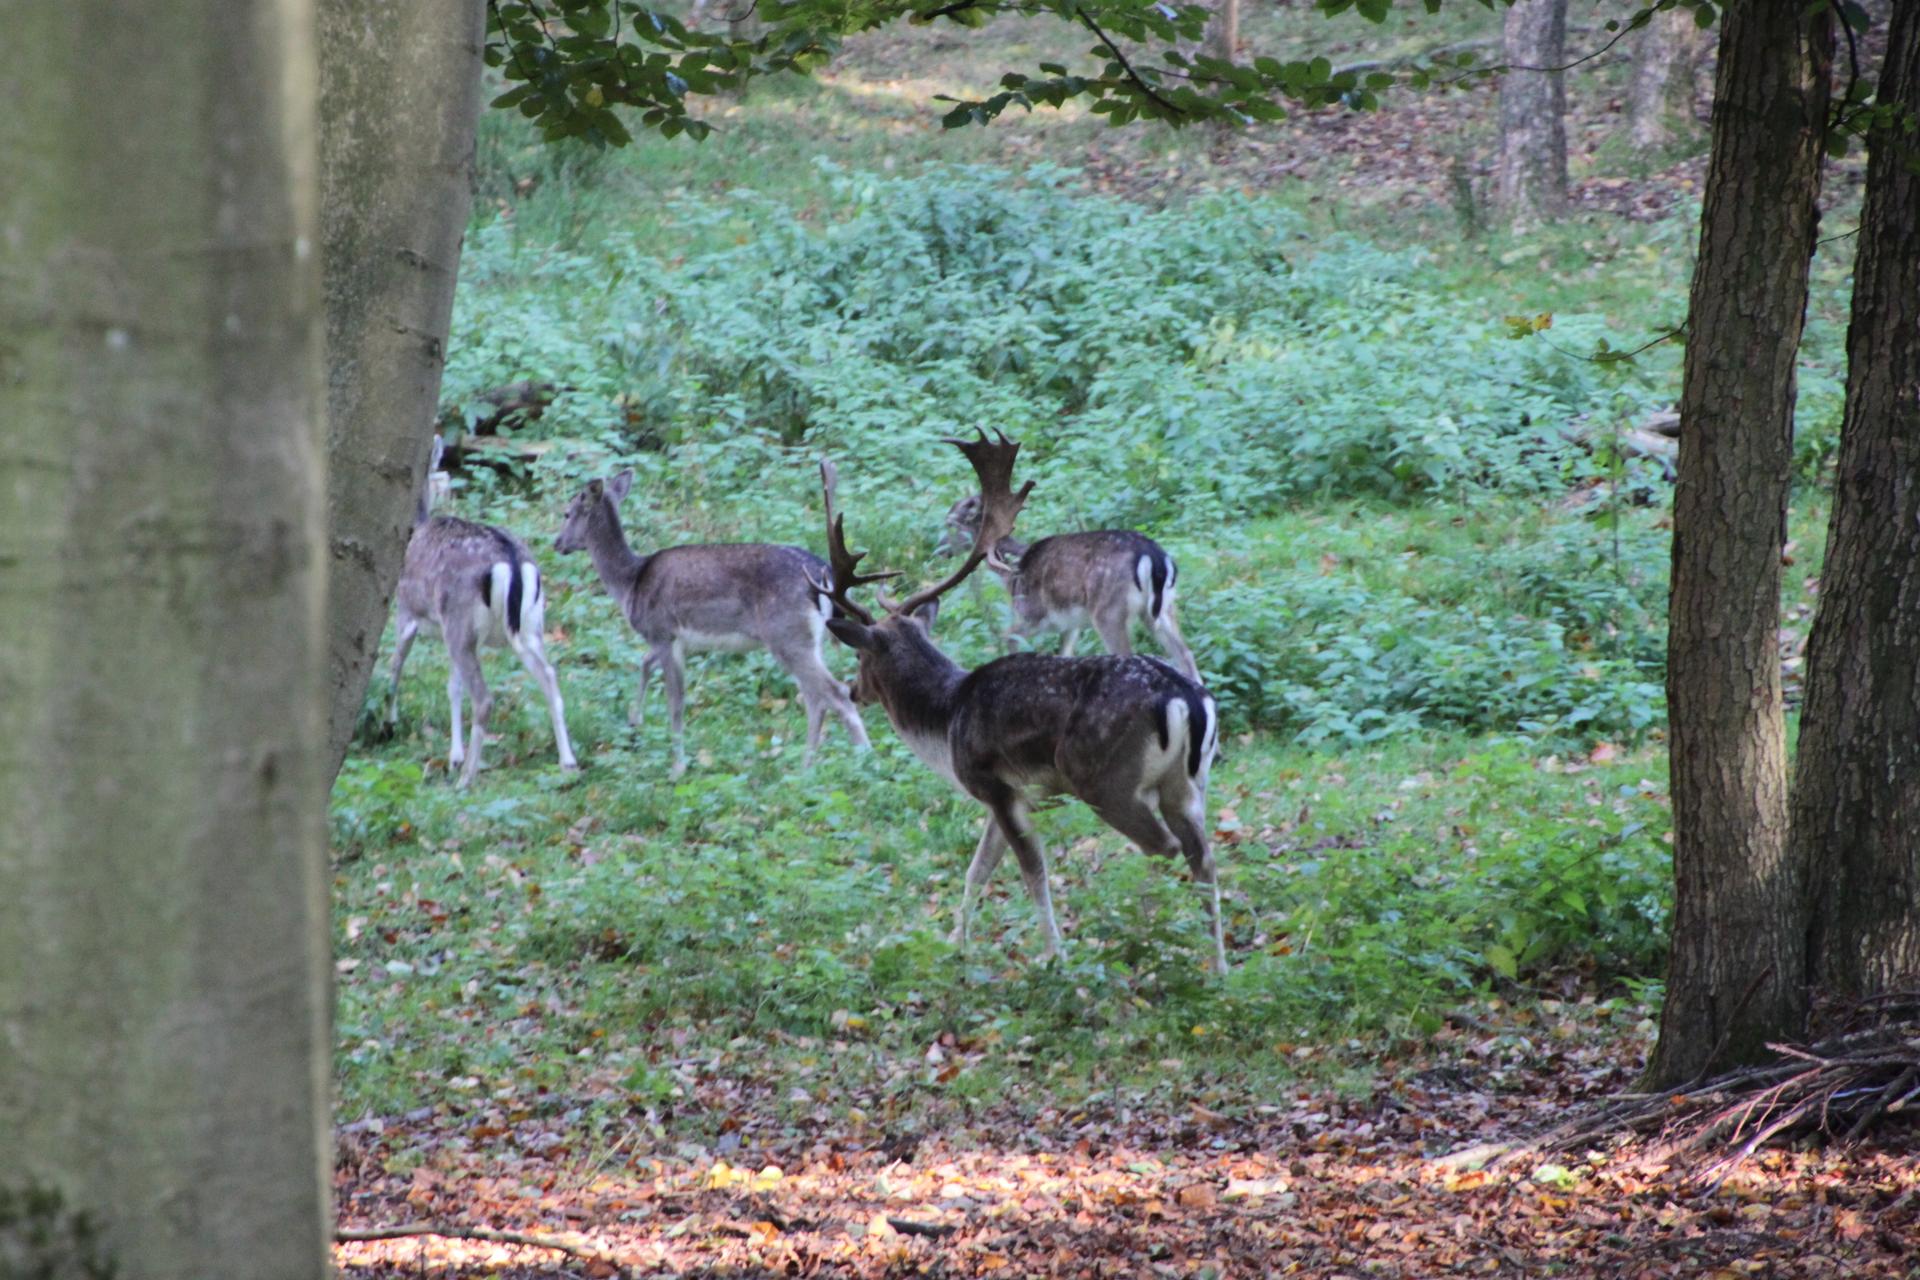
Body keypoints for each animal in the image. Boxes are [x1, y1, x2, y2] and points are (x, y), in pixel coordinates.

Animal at [384, 435, 576, 786]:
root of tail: (512, 562)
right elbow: (453, 687)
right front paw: (454, 756)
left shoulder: (407, 611)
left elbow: (396, 665)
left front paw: (388, 724)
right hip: (529, 626)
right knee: (550, 678)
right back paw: (568, 762)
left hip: (459, 621)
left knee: (484, 698)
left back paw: (466, 779)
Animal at [549, 468, 864, 775]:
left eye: (567, 512)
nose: (556, 543)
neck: (630, 584)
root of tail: (823, 575)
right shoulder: (672, 640)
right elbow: (644, 662)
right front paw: (634, 721)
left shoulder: (662, 631)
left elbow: (675, 702)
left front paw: (677, 767)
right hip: (809, 639)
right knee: (815, 698)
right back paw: (806, 768)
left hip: (787, 634)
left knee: (835, 693)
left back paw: (865, 760)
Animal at [933, 495, 1198, 687]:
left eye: (951, 523)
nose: (939, 551)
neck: (1012, 575)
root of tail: (1156, 558)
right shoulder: (1070, 626)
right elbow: (1064, 658)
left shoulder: (1032, 614)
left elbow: (1008, 637)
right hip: (1163, 609)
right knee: (1186, 656)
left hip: (1108, 611)